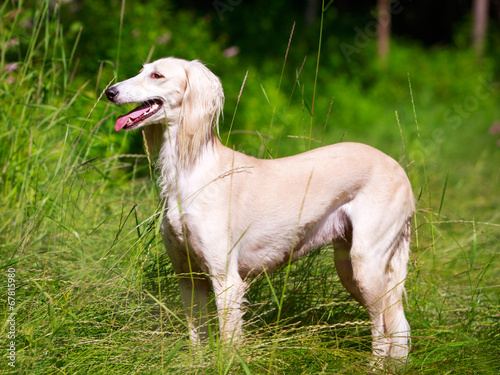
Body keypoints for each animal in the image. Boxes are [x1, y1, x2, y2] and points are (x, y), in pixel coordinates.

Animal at [104, 57, 414, 362]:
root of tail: (399, 170)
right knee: (397, 328)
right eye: (142, 70)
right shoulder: (189, 277)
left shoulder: (226, 280)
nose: (109, 92)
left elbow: (228, 344)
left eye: (157, 75)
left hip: (366, 264)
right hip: (350, 267)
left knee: (384, 332)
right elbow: (197, 339)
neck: (192, 170)